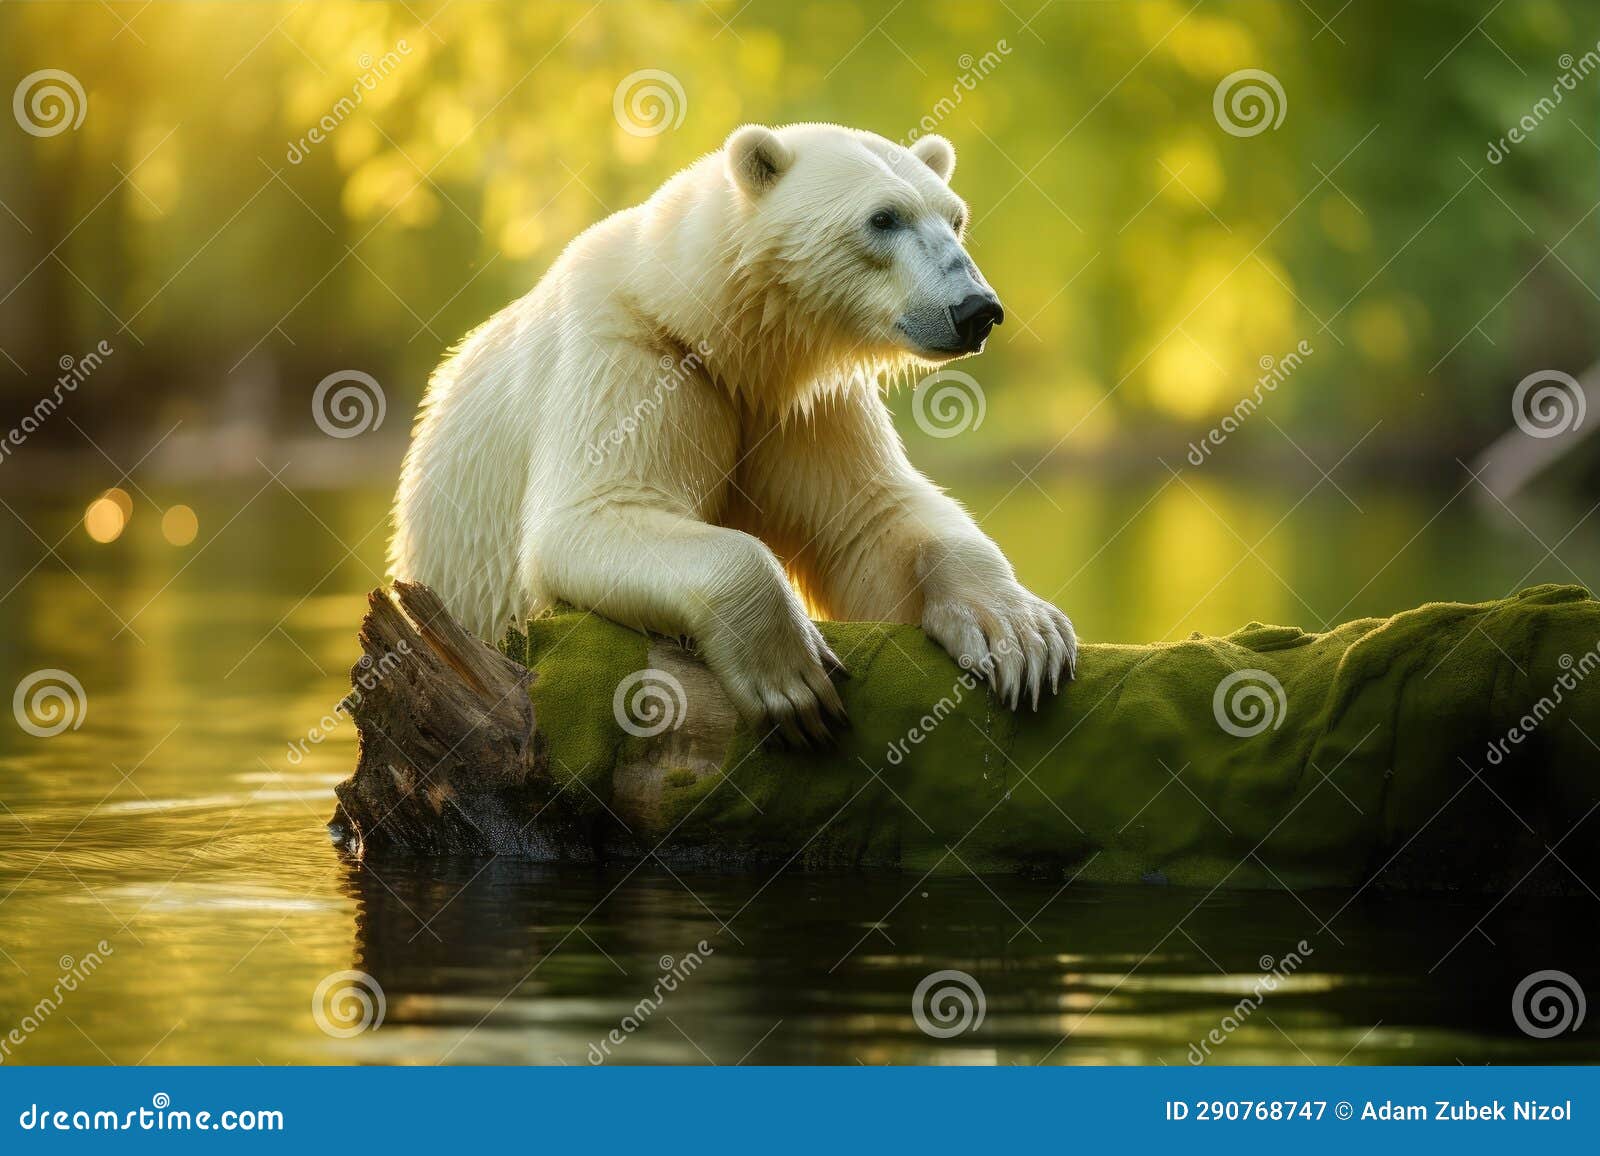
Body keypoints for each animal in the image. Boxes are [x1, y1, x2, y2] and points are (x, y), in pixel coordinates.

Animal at [389, 122, 1076, 743]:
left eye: (954, 219)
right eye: (883, 218)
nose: (976, 309)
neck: (718, 337)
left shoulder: (802, 406)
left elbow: (871, 521)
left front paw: (1022, 632)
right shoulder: (629, 354)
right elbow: (593, 513)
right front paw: (796, 675)